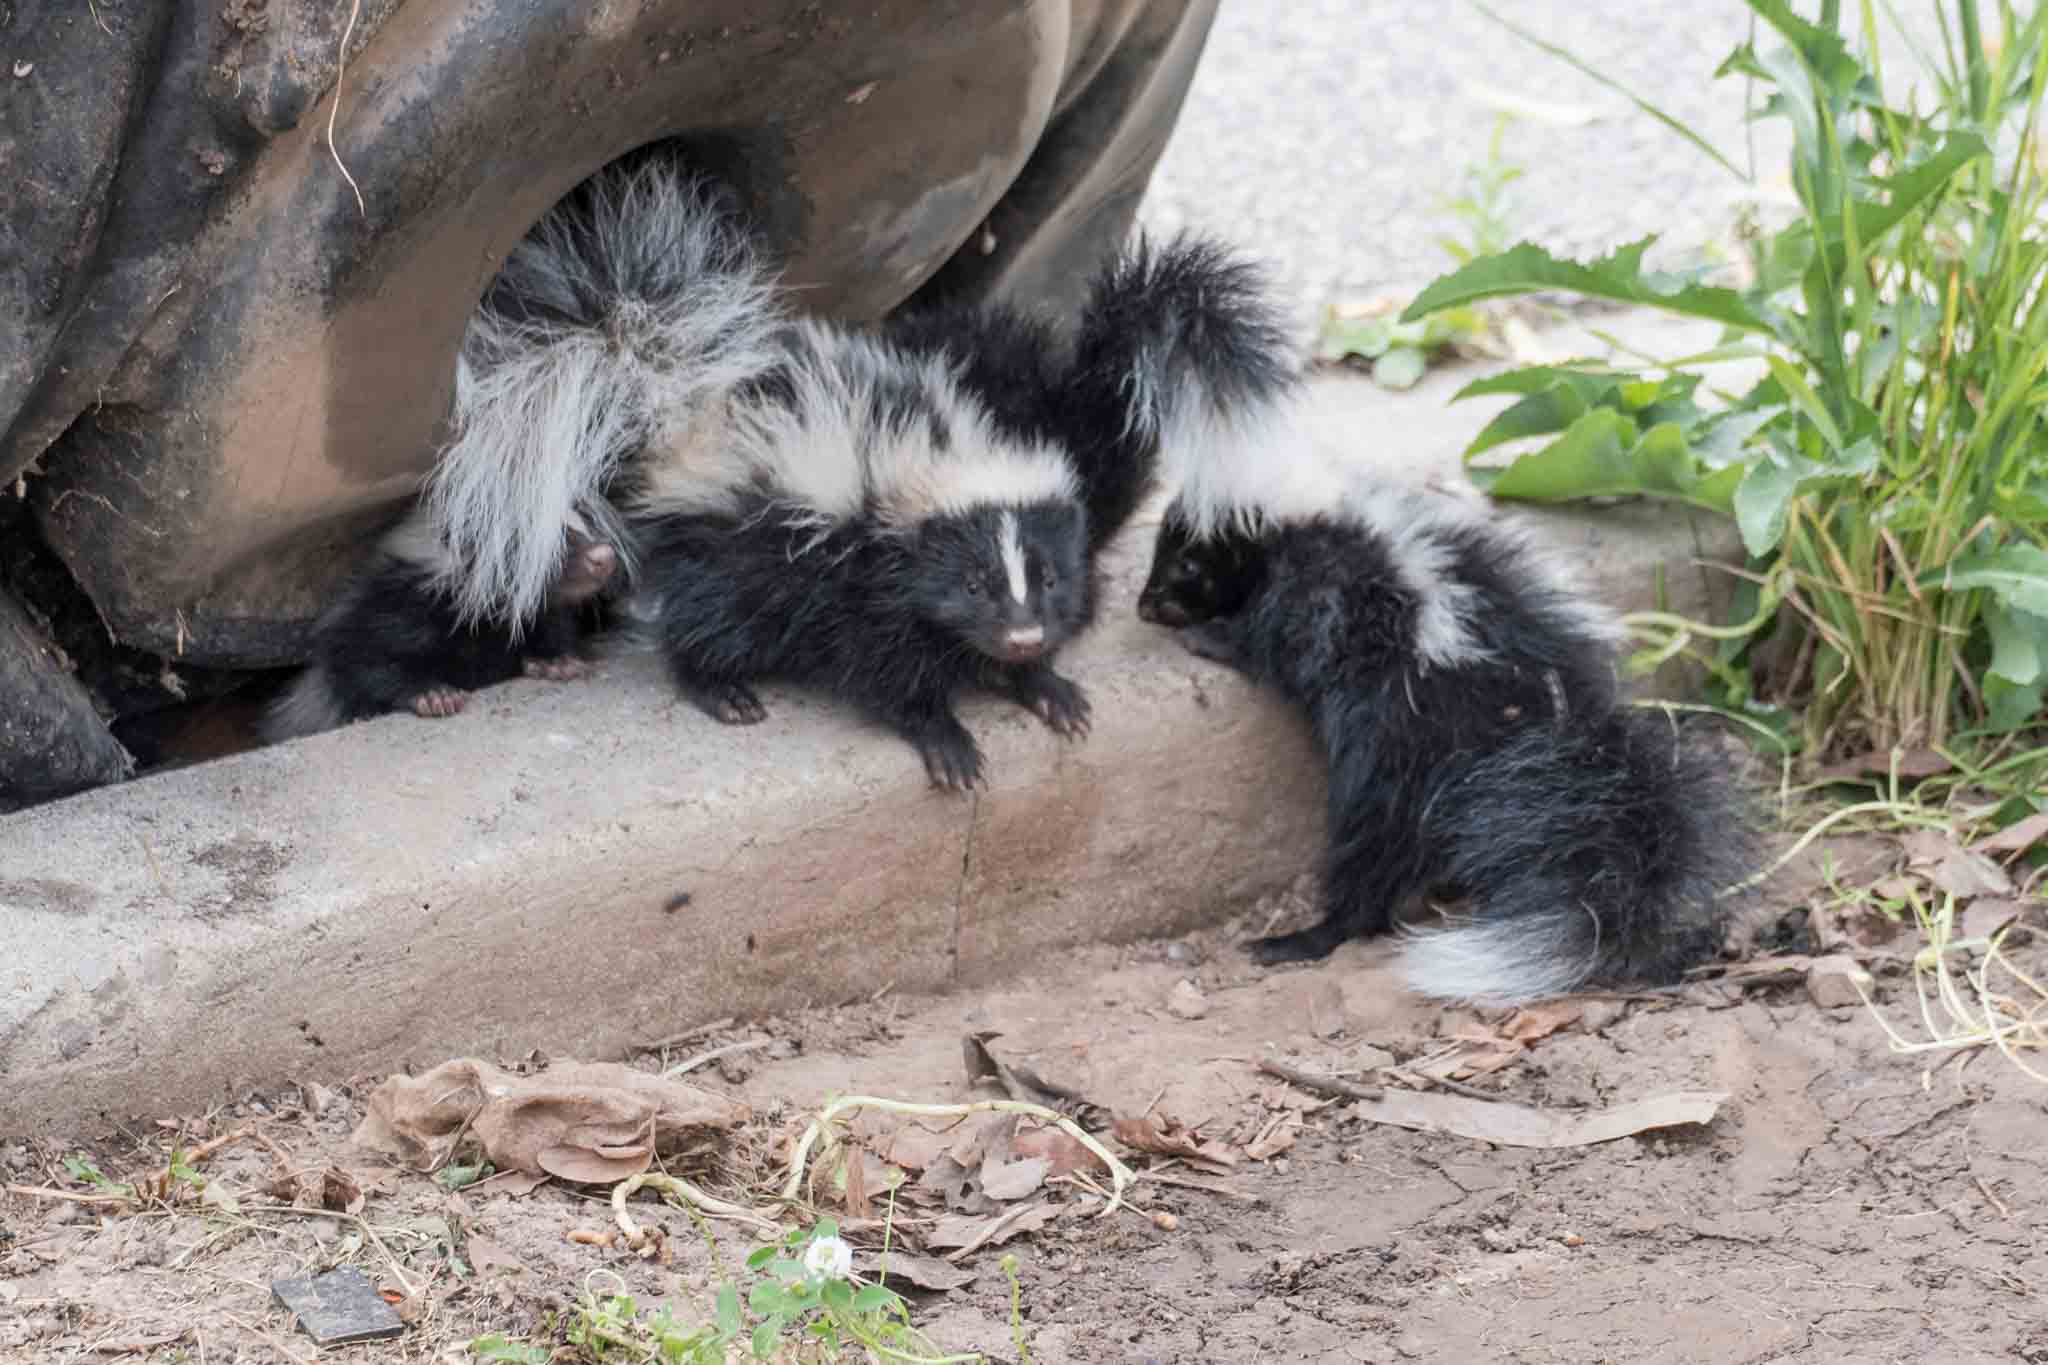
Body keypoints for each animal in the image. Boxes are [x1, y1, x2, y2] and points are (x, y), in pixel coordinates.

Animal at [264, 509, 618, 740]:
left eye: (583, 526)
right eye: (540, 541)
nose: (604, 555)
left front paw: (555, 662)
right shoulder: (383, 611)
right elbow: (364, 661)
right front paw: (433, 694)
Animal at [1130, 427, 1753, 1002]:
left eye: (1190, 564)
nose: (1147, 603)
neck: (1315, 517)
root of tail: (1554, 719)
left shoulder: (1325, 591)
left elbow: (1280, 636)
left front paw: (1211, 638)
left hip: (1402, 747)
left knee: (1375, 851)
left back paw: (1302, 937)